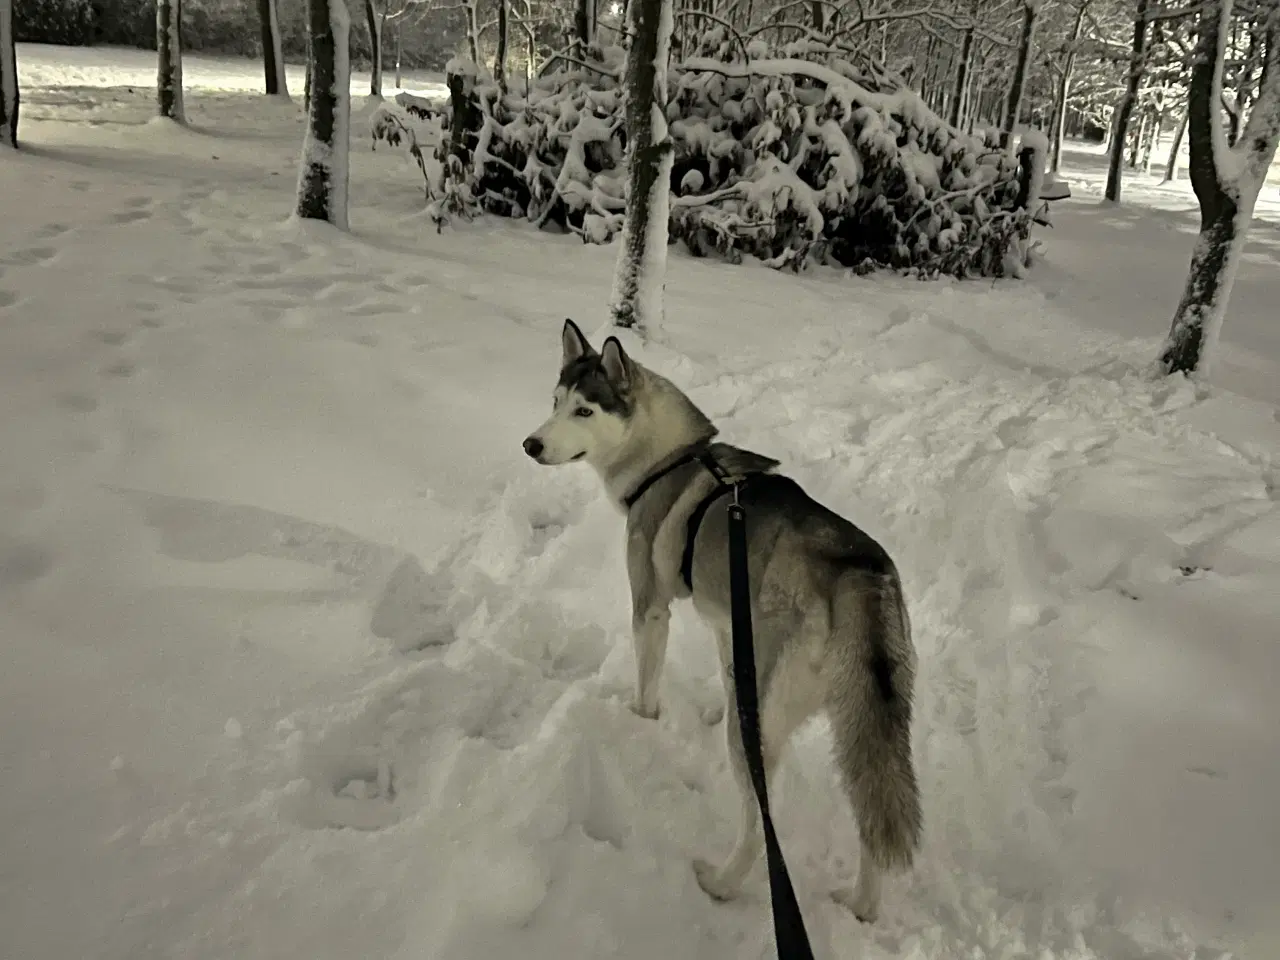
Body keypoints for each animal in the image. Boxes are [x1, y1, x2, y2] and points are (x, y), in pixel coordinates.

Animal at [519, 320, 921, 921]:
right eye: (554, 402)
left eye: (584, 411)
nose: (531, 444)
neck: (671, 458)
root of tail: (860, 570)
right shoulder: (729, 628)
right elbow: (726, 673)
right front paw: (709, 708)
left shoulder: (651, 606)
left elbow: (646, 684)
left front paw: (638, 721)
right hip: (862, 724)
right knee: (868, 811)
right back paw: (860, 906)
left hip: (764, 726)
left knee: (759, 823)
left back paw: (722, 883)